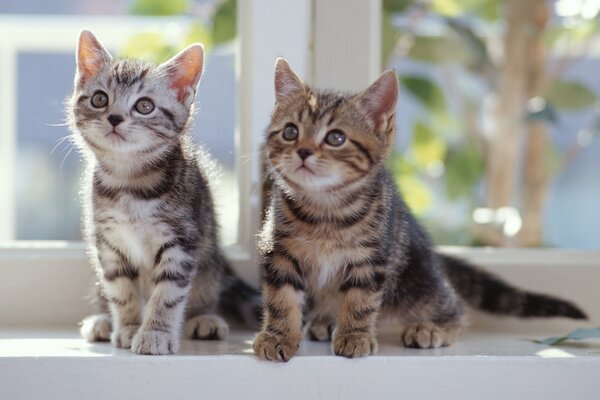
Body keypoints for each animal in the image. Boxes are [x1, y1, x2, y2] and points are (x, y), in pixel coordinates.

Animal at [69, 32, 233, 356]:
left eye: (145, 106)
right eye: (99, 99)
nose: (114, 118)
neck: (128, 183)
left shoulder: (180, 241)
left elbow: (167, 293)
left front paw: (154, 332)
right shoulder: (109, 244)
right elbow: (121, 289)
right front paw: (129, 326)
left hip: (209, 260)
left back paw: (205, 318)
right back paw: (102, 321)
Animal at [253, 59, 584, 362]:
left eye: (335, 138)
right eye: (290, 132)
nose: (303, 151)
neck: (324, 210)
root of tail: (434, 257)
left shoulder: (372, 258)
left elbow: (360, 301)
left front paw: (355, 335)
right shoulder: (279, 253)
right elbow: (281, 298)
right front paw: (278, 336)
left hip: (416, 282)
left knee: (455, 308)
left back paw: (431, 328)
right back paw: (324, 319)